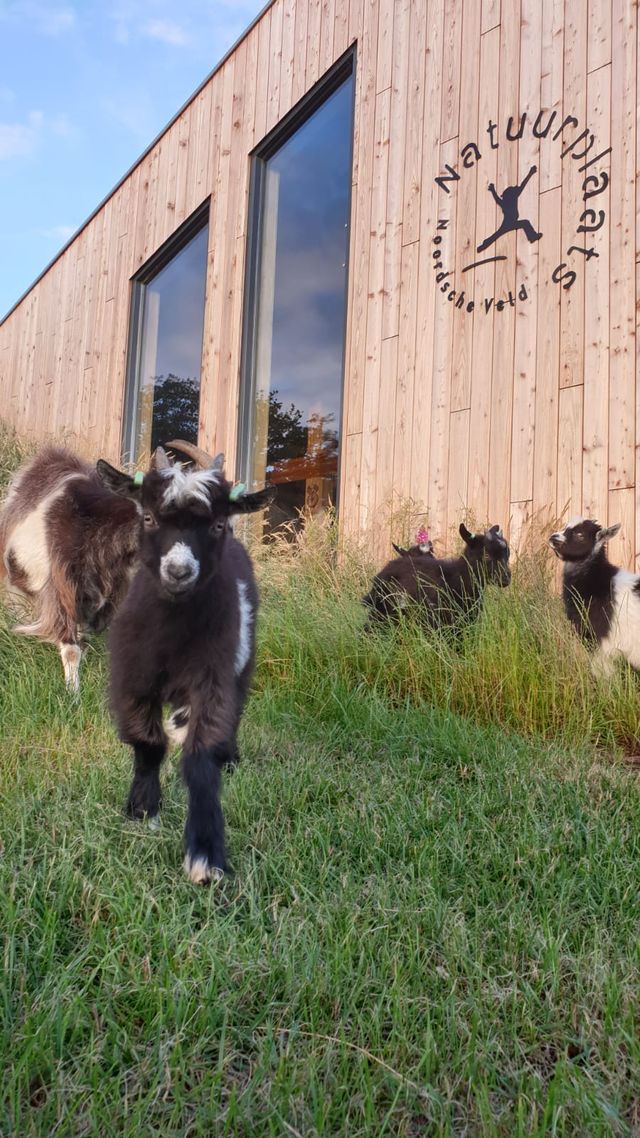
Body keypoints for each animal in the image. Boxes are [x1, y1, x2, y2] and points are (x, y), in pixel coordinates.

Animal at [100, 446, 272, 885]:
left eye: (217, 524)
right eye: (147, 517)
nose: (179, 571)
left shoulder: (213, 676)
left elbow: (201, 756)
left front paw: (206, 853)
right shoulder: (133, 678)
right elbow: (147, 743)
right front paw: (143, 809)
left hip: (243, 660)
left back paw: (230, 755)